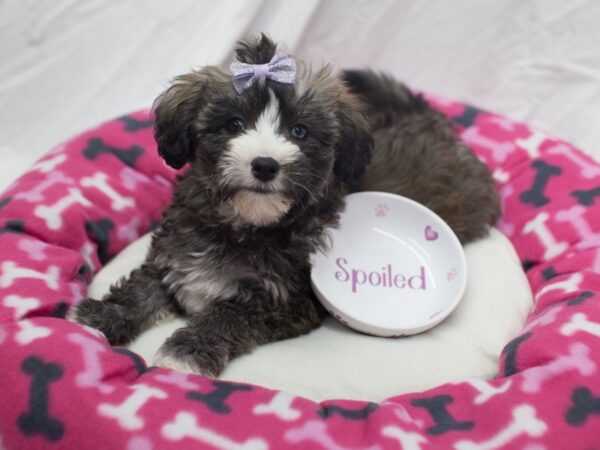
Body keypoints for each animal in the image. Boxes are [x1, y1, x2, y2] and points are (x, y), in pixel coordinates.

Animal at [70, 34, 502, 376]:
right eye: (234, 125)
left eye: (299, 131)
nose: (264, 165)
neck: (241, 225)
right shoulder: (172, 258)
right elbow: (140, 289)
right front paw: (98, 317)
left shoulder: (283, 302)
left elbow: (228, 314)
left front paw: (188, 351)